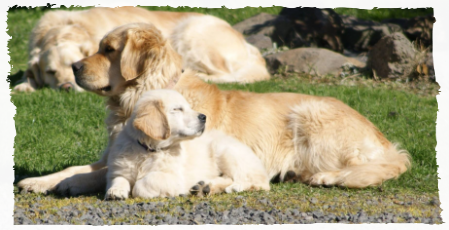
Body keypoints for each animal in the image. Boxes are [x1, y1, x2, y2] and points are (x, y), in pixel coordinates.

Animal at [106, 88, 270, 199]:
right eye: (177, 109)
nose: (204, 117)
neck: (149, 150)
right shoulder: (119, 168)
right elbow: (118, 179)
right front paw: (116, 191)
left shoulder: (174, 178)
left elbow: (144, 182)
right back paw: (204, 187)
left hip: (228, 152)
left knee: (258, 182)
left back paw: (235, 187)